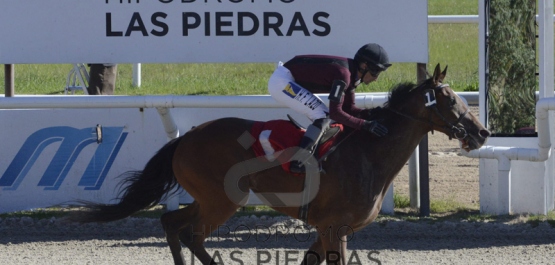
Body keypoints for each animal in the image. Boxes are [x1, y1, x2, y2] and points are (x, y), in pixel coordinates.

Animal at [70, 64, 490, 264]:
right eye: (450, 100)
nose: (482, 132)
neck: (369, 154)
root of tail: (184, 139)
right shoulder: (334, 227)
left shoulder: (326, 228)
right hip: (223, 199)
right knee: (191, 233)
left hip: (210, 198)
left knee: (172, 222)